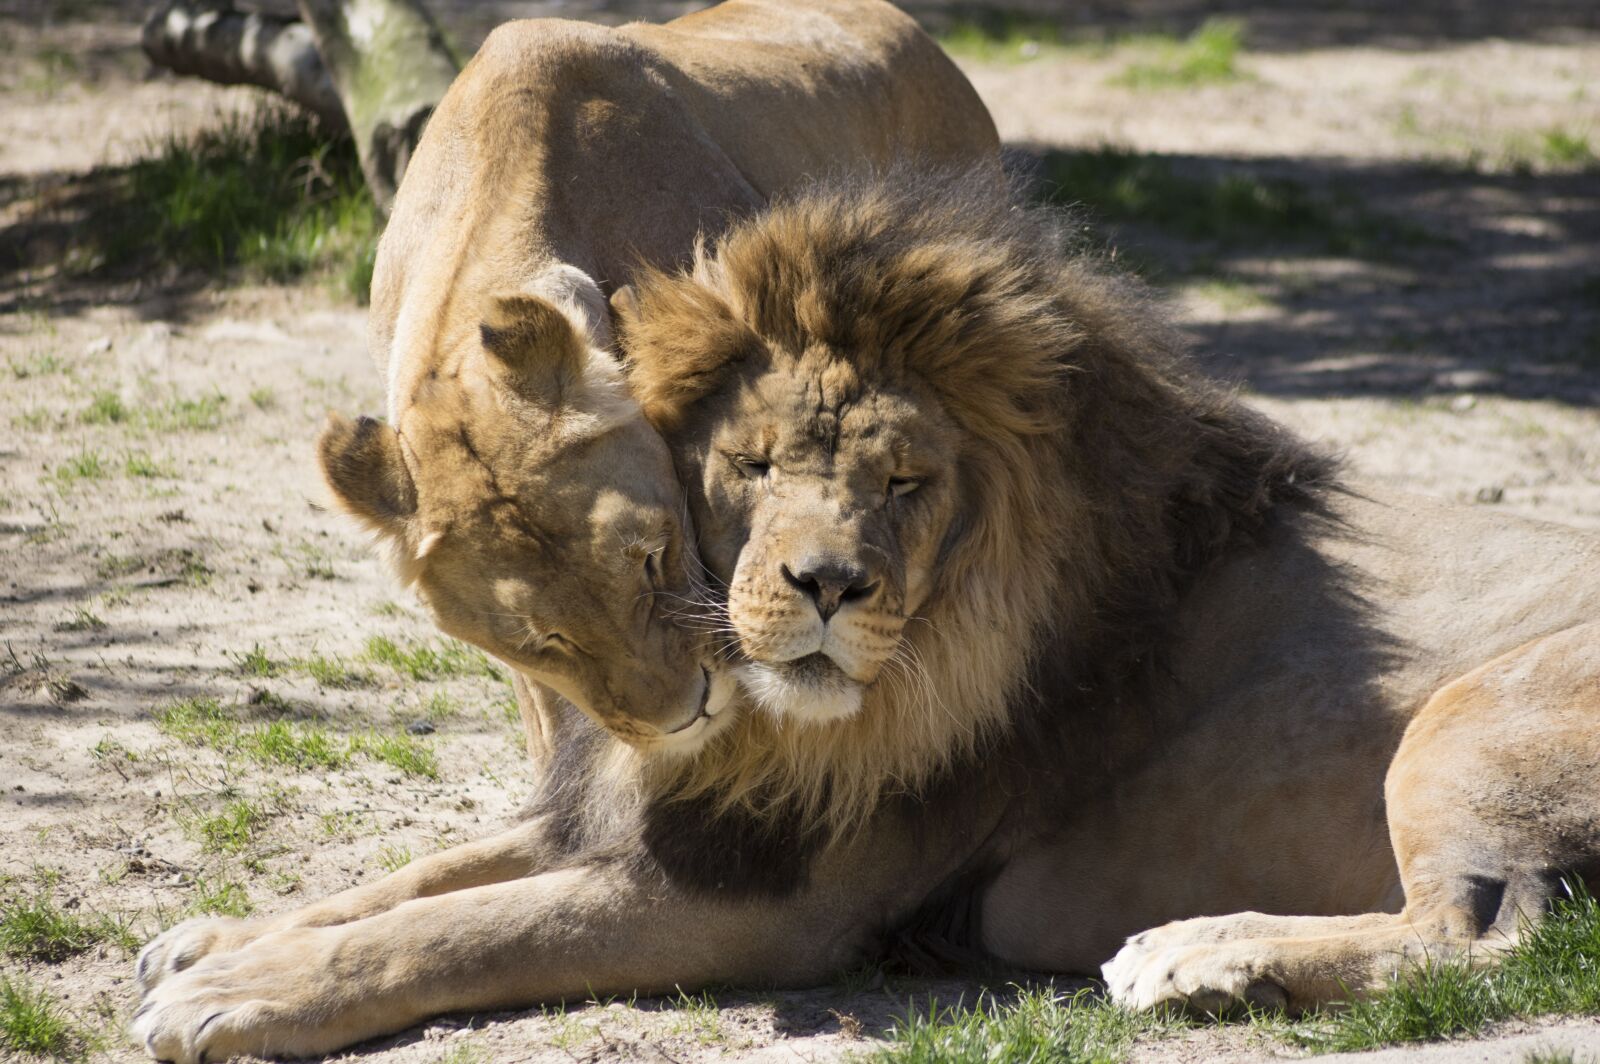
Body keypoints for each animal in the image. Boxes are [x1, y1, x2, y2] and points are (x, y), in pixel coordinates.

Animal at [131, 170, 1593, 1056]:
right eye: (752, 464)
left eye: (904, 481)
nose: (828, 584)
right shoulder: (662, 814)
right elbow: (425, 872)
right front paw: (219, 937)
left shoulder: (774, 904)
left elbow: (475, 924)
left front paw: (236, 993)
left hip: (1463, 721)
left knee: (1488, 941)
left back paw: (1202, 957)